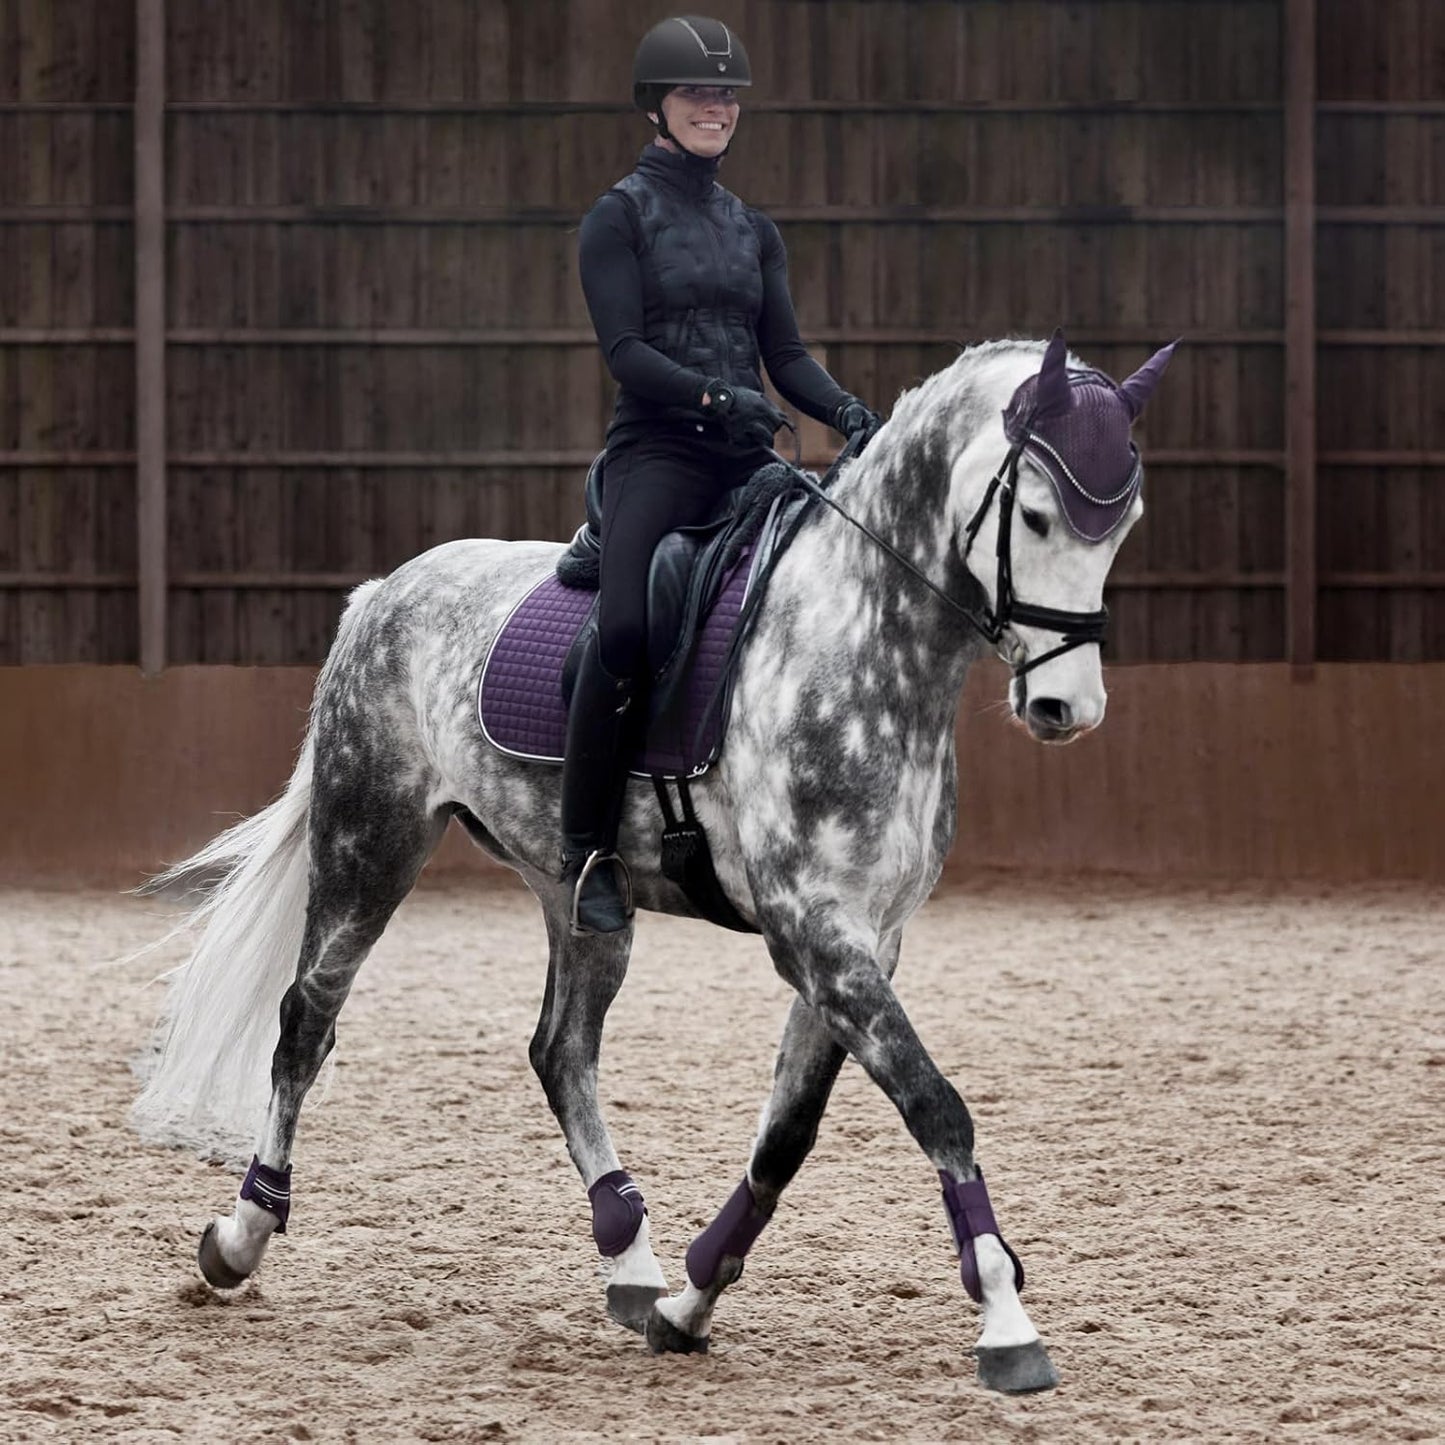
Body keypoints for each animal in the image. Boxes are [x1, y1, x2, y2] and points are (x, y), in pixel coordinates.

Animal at [132, 330, 1173, 1395]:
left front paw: (689, 1299)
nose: (1066, 708)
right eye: (1037, 514)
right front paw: (1006, 1320)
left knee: (561, 1051)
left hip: (577, 891)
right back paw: (241, 1234)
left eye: (1122, 524)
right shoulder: (815, 932)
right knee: (307, 1022)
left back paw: (629, 1257)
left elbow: (786, 1133)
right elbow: (937, 1104)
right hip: (369, 839)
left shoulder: (863, 940)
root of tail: (385, 592)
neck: (858, 642)